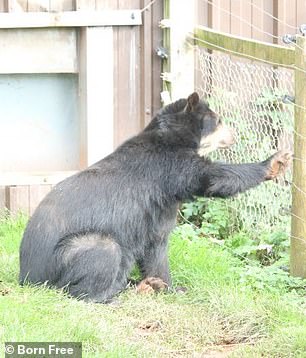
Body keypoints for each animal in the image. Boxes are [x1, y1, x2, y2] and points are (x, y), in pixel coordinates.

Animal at [19, 93, 292, 302]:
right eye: (218, 120)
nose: (234, 135)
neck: (171, 136)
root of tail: (27, 277)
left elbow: (153, 247)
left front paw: (167, 286)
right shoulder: (170, 173)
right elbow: (212, 180)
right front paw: (275, 162)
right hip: (72, 253)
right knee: (99, 260)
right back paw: (119, 293)